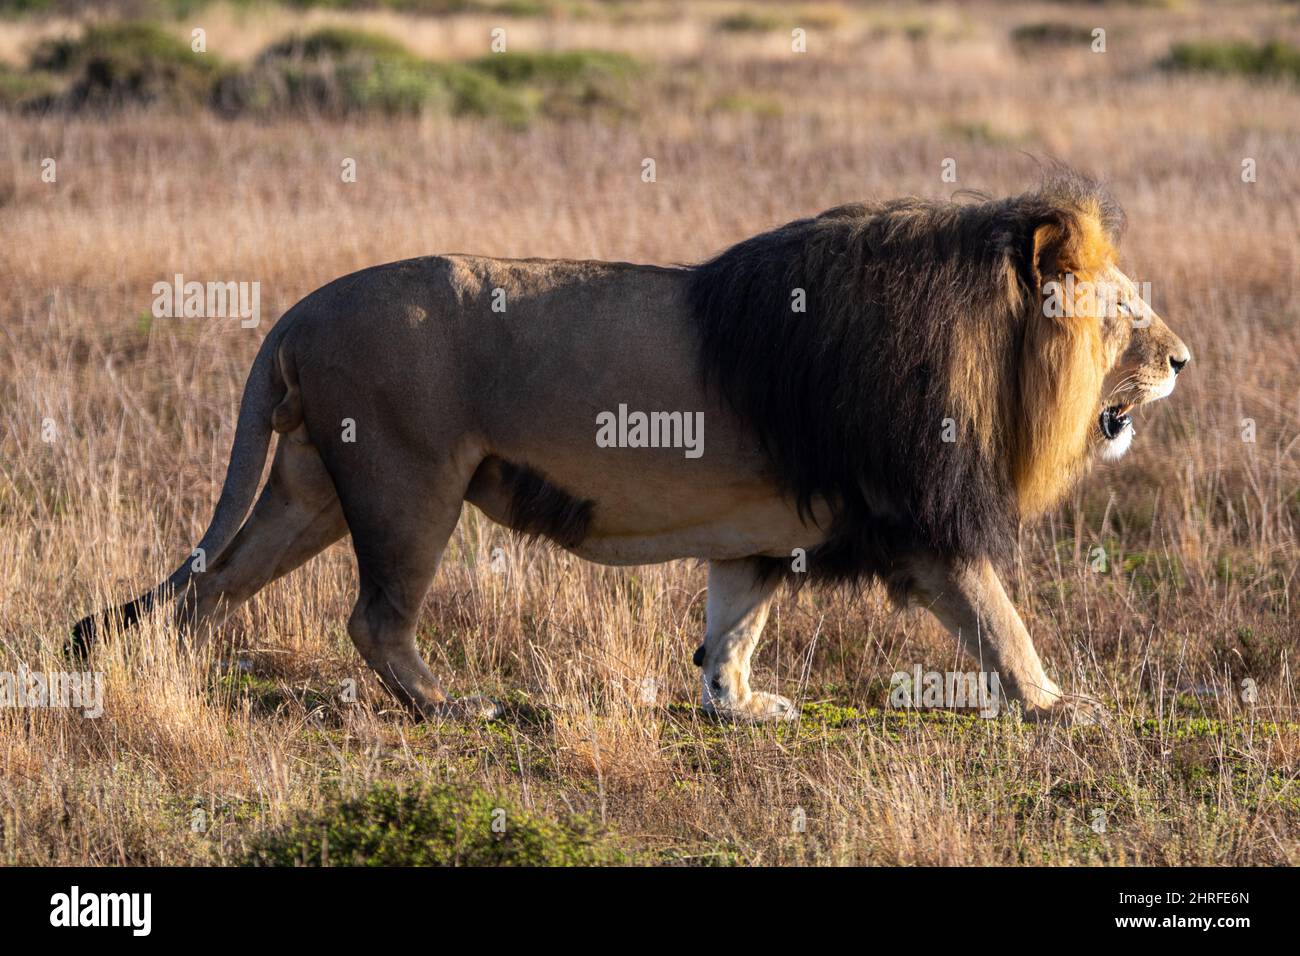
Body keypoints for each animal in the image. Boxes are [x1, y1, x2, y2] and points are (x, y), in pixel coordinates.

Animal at [71, 174, 1190, 723]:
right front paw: (1057, 704)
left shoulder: (766, 526)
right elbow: (1000, 618)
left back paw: (159, 686)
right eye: (1126, 314)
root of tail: (295, 314)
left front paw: (740, 707)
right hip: (407, 482)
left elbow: (734, 623)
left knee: (206, 590)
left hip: (311, 488)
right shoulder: (920, 517)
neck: (988, 348)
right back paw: (453, 708)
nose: (1183, 359)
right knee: (371, 617)